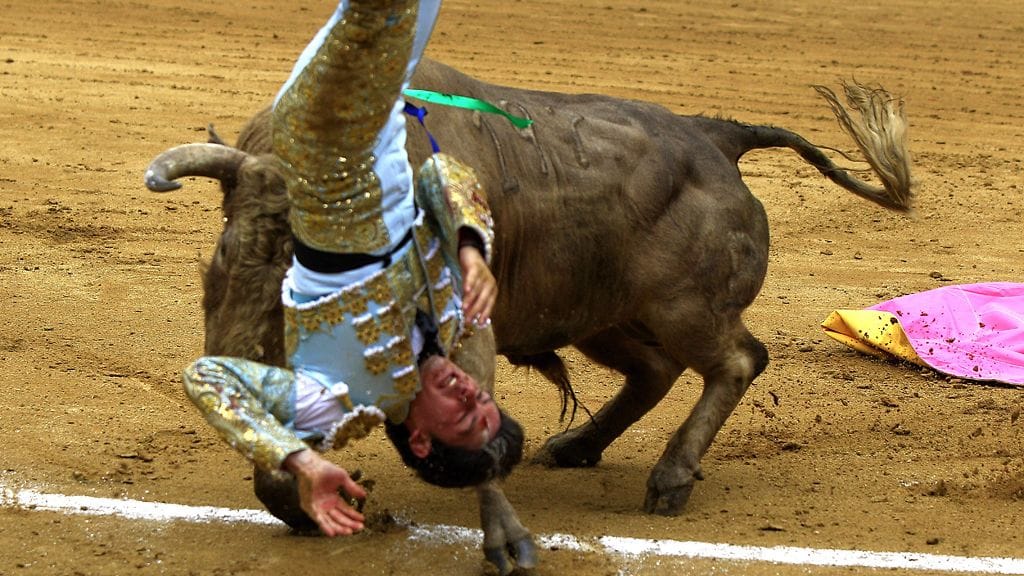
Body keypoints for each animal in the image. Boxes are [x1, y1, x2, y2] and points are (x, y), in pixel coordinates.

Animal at [145, 57, 913, 573]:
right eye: (226, 258)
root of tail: (715, 135)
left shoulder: (466, 331)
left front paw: (506, 542)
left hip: (681, 309)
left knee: (736, 359)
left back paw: (669, 477)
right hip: (603, 317)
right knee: (655, 372)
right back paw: (578, 446)